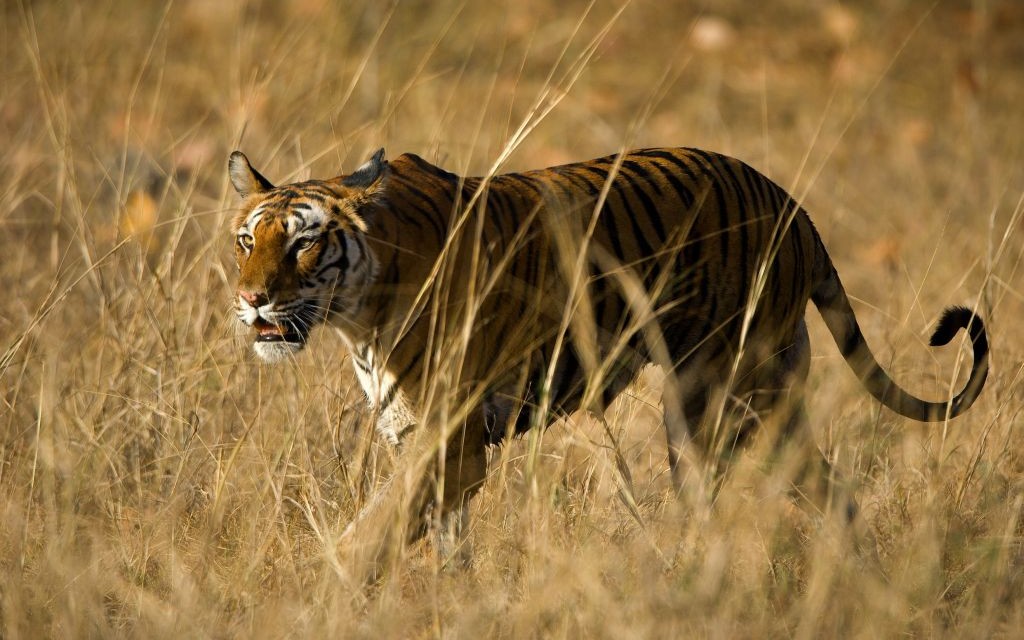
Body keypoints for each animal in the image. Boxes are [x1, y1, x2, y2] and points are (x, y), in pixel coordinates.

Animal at [228, 146, 987, 565]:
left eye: (304, 243)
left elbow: (372, 532)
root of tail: (794, 207)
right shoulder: (416, 435)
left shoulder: (452, 439)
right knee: (832, 494)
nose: (253, 300)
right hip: (767, 405)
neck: (358, 315)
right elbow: (438, 542)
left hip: (717, 400)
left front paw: (324, 591)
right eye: (247, 241)